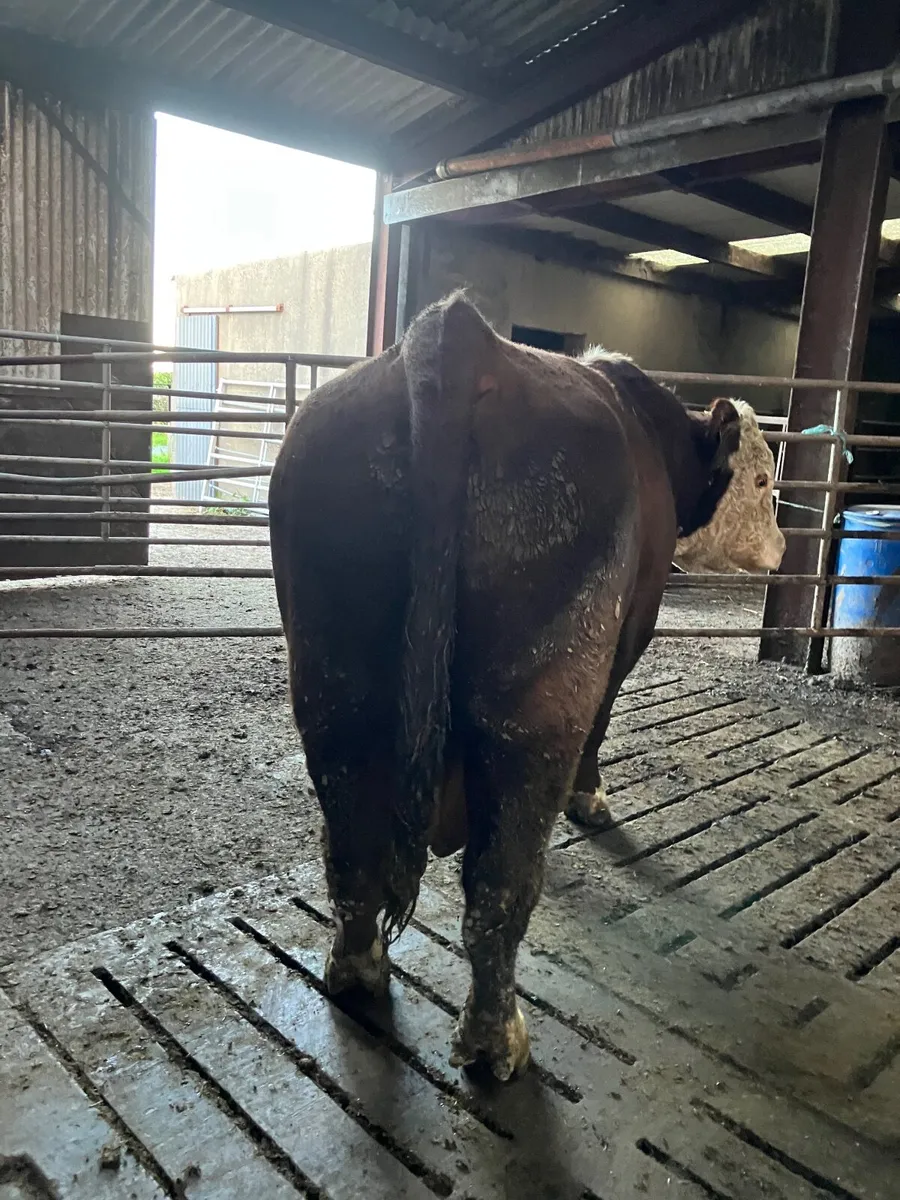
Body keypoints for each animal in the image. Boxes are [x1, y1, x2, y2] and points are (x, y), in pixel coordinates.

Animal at [268, 292, 785, 1083]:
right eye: (762, 480)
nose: (784, 550)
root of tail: (460, 337)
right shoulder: (632, 625)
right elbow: (603, 723)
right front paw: (591, 799)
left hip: (333, 682)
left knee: (352, 851)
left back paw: (357, 972)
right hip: (537, 702)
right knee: (499, 884)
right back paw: (495, 1039)